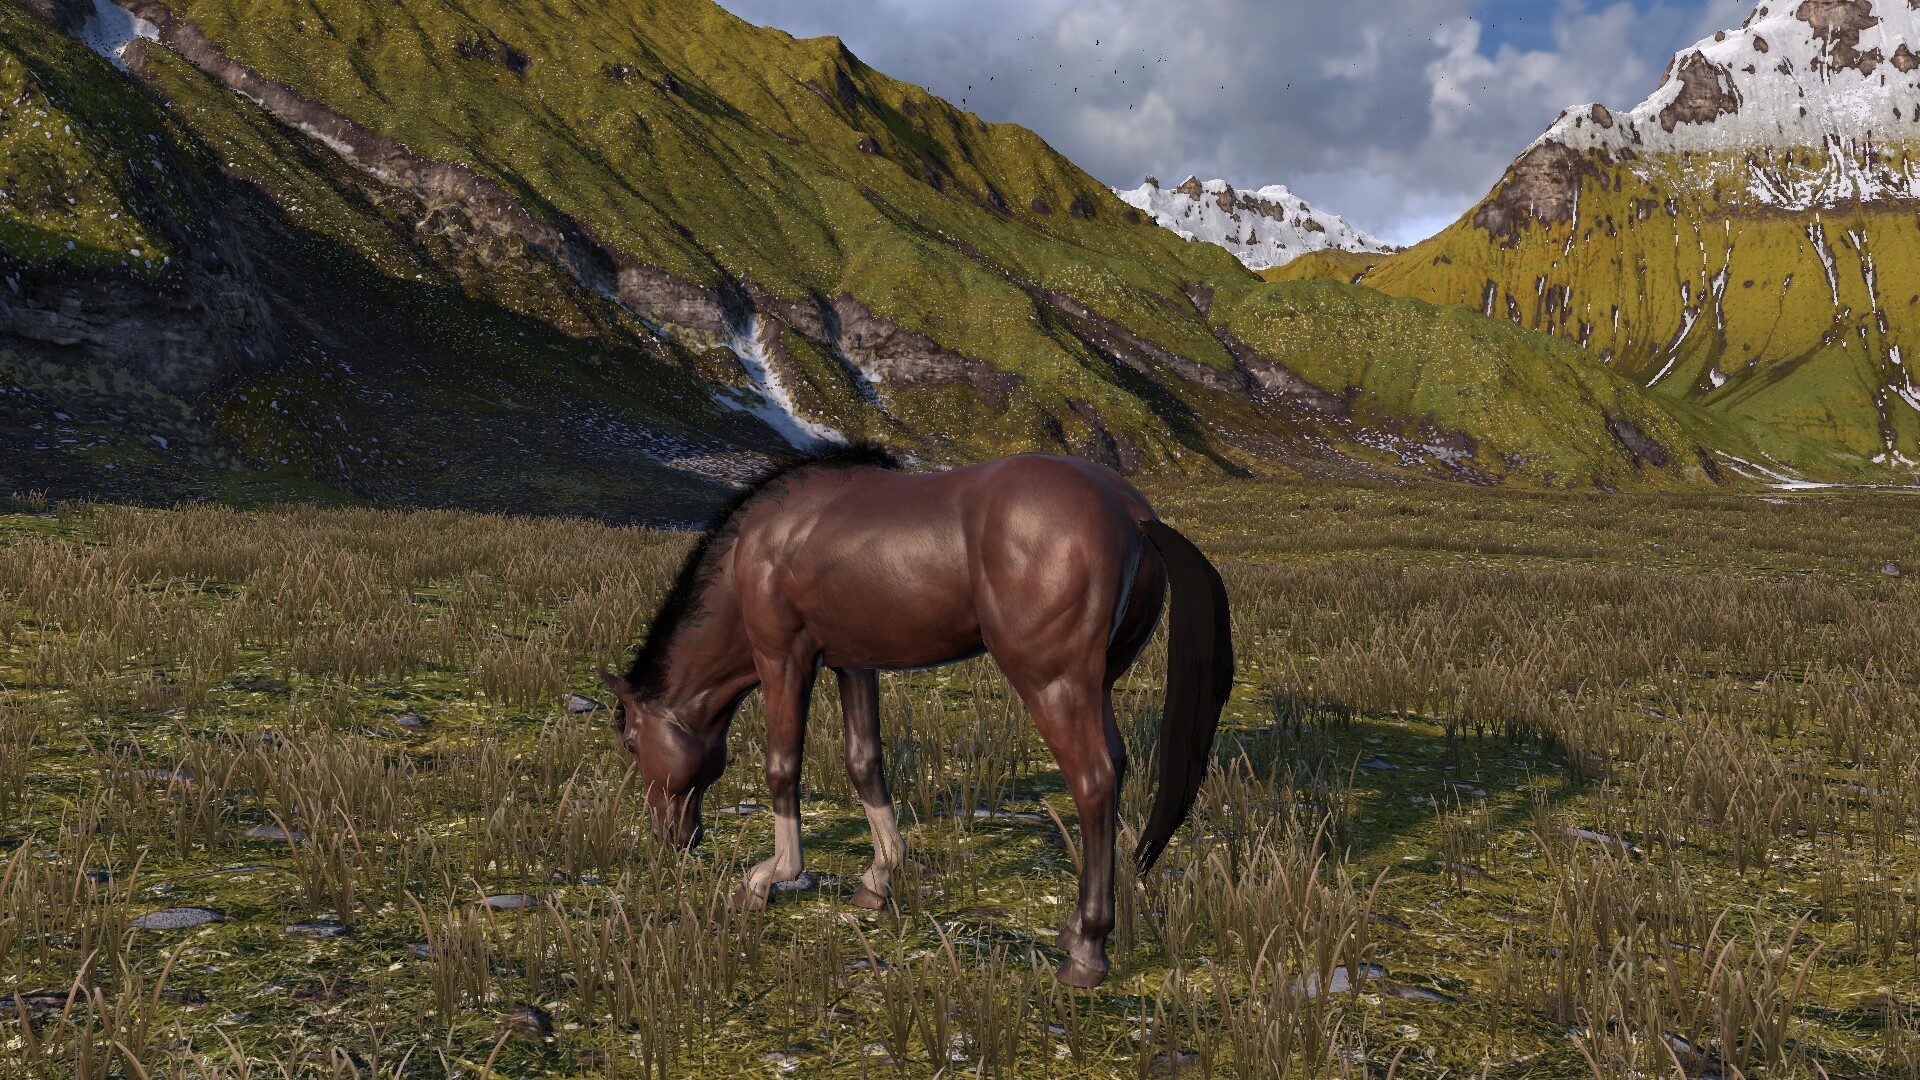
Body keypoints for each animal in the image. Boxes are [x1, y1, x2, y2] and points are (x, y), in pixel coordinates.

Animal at [599, 447, 1233, 988]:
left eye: (631, 742)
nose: (673, 838)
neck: (763, 544)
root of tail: (1131, 513)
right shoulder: (853, 662)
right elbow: (864, 763)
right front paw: (880, 877)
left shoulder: (783, 655)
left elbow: (783, 768)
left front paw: (767, 878)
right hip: (1095, 685)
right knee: (1117, 768)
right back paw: (1074, 929)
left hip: (1053, 684)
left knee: (1094, 781)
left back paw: (1087, 951)